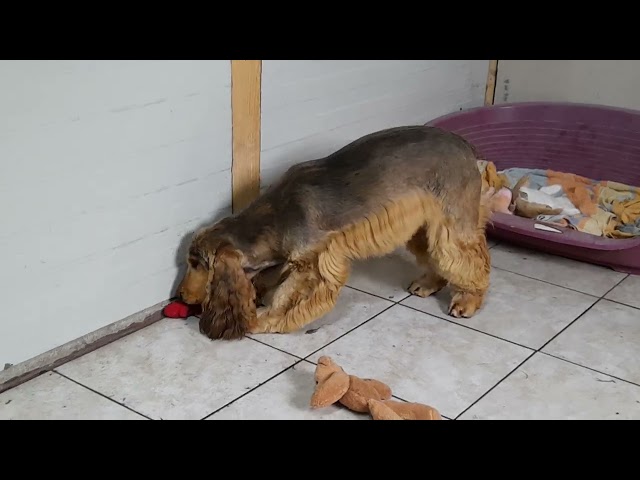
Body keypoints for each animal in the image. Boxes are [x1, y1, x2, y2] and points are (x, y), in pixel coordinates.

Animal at [178, 125, 492, 340]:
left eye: (196, 264)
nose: (181, 295)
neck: (274, 217)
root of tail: (465, 145)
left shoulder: (315, 264)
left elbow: (287, 298)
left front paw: (264, 320)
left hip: (454, 224)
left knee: (471, 262)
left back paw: (468, 300)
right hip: (424, 226)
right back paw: (428, 283)